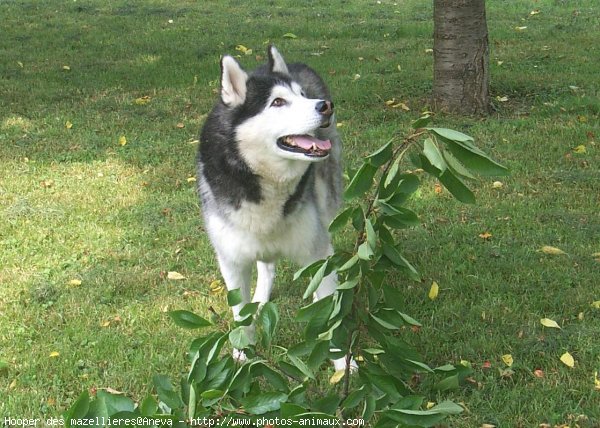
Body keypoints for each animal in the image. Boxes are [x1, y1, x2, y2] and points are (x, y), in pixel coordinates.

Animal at [198, 46, 346, 368]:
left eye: (301, 95)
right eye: (278, 102)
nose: (325, 107)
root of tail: (297, 62)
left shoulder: (316, 249)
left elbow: (330, 315)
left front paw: (345, 367)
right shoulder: (231, 260)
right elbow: (239, 313)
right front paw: (243, 353)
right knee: (266, 265)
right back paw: (261, 298)